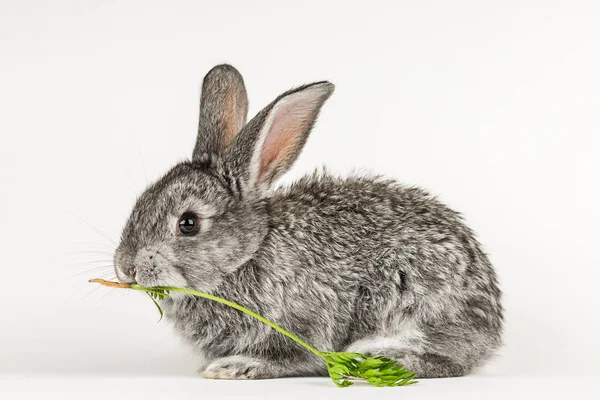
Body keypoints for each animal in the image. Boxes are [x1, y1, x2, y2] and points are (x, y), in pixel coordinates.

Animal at [112, 64, 502, 380]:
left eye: (188, 223)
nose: (125, 268)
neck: (248, 254)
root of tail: (492, 325)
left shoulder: (305, 322)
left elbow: (292, 357)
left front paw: (235, 367)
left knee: (445, 361)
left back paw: (374, 356)